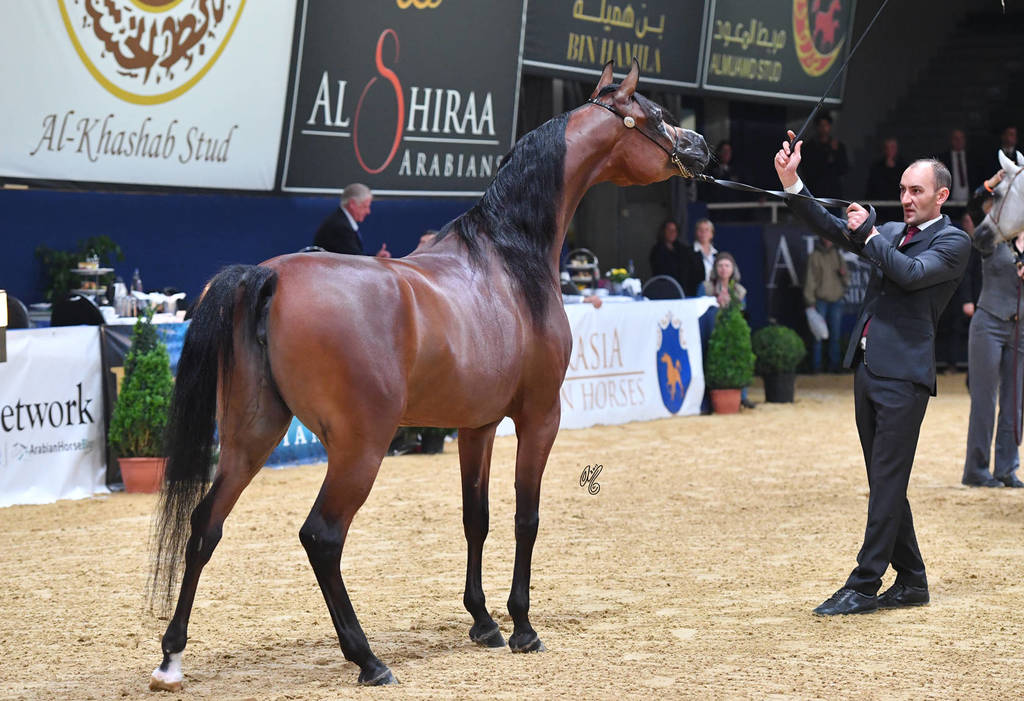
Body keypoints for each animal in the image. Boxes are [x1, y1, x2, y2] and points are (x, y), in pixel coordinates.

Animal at [148, 60, 709, 691]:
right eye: (656, 115)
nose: (701, 146)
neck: (508, 259)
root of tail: (268, 277)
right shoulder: (540, 416)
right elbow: (526, 517)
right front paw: (522, 627)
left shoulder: (478, 425)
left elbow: (476, 519)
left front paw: (483, 622)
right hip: (359, 447)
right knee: (322, 536)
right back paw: (368, 660)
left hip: (253, 434)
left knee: (205, 525)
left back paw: (171, 658)